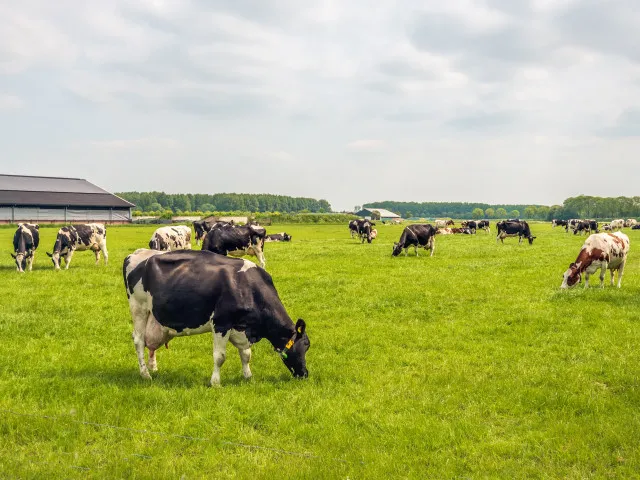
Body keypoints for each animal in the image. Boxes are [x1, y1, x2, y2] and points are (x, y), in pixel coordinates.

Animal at [124, 249, 312, 384]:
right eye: (303, 346)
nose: (304, 373)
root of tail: (136, 253)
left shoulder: (240, 327)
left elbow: (246, 354)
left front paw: (248, 376)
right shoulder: (221, 323)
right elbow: (220, 356)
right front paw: (215, 382)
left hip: (153, 317)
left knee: (150, 344)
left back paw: (153, 368)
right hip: (138, 307)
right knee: (139, 340)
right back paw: (145, 374)